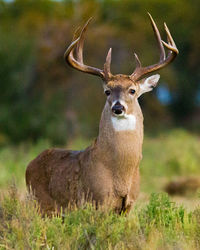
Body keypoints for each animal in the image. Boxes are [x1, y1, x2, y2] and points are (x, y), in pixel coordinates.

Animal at [25, 13, 178, 216]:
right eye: (107, 91)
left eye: (132, 90)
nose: (118, 107)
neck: (121, 172)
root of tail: (29, 165)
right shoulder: (97, 200)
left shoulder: (128, 204)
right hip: (42, 204)